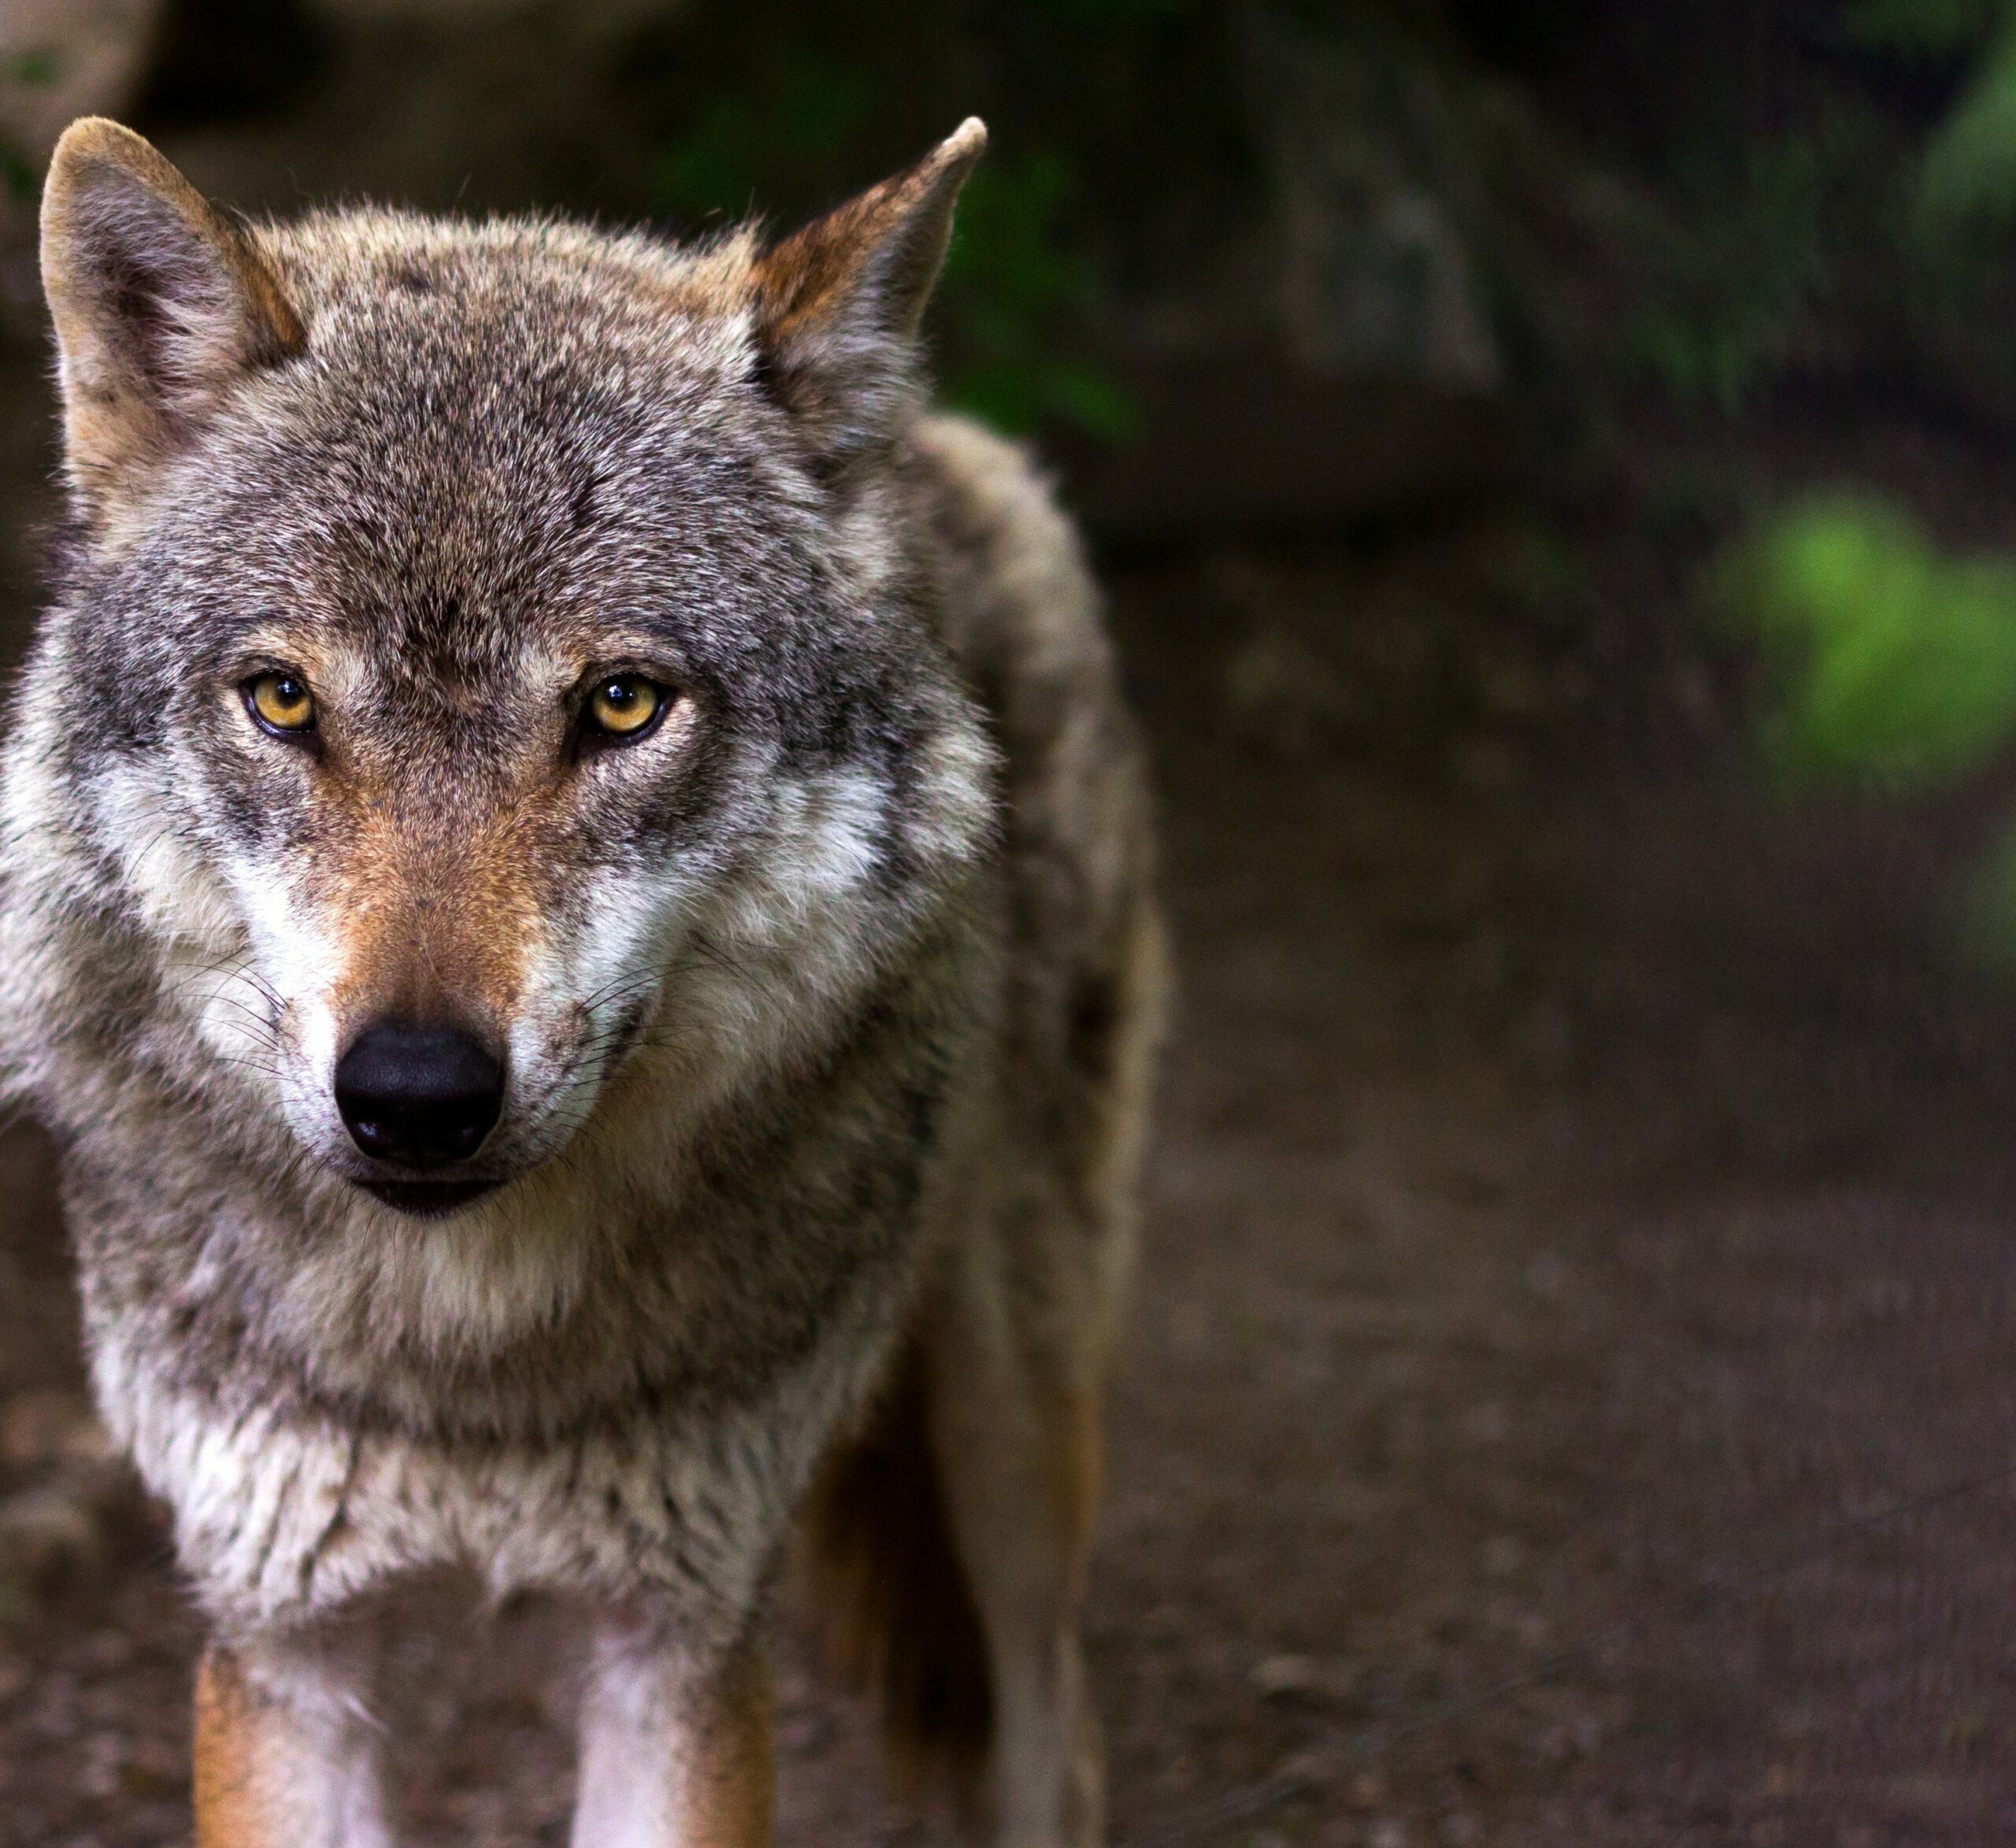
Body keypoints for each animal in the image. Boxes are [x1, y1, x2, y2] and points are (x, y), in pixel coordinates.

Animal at [0, 119, 1169, 1846]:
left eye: (622, 704)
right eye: (281, 699)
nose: (415, 1094)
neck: (464, 1363)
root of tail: (941, 444)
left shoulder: (677, 1639)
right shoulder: (282, 1643)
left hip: (1011, 1418)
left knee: (1056, 1730)